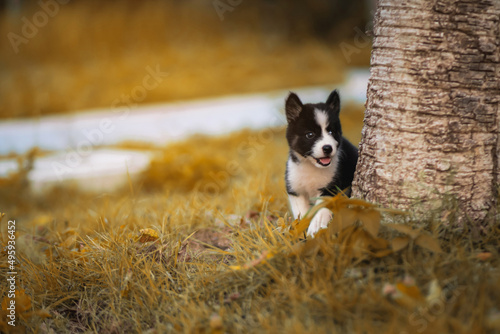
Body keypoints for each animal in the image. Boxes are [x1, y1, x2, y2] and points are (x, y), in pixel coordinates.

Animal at [286, 90, 360, 236]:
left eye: (331, 132)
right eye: (310, 135)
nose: (327, 148)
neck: (311, 166)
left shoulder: (331, 187)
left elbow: (321, 208)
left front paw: (316, 226)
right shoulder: (294, 188)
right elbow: (300, 212)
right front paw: (301, 228)